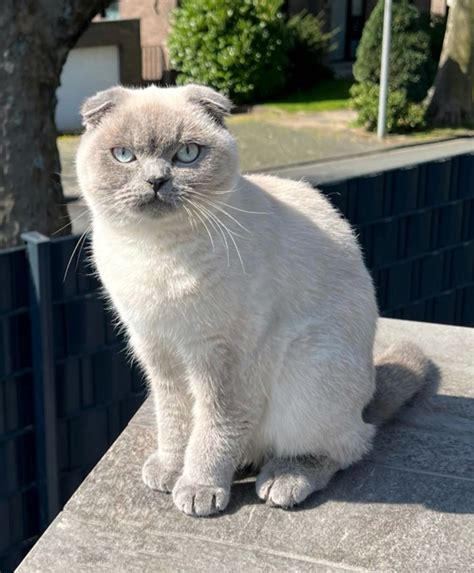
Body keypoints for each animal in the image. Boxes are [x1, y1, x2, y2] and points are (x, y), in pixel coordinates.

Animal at [75, 82, 434, 516]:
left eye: (187, 154)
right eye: (124, 155)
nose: (156, 181)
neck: (156, 253)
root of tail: (366, 398)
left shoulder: (222, 359)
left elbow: (213, 429)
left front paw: (197, 488)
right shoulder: (159, 352)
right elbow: (174, 421)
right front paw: (170, 470)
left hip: (308, 372)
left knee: (348, 445)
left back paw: (282, 479)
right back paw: (243, 464)